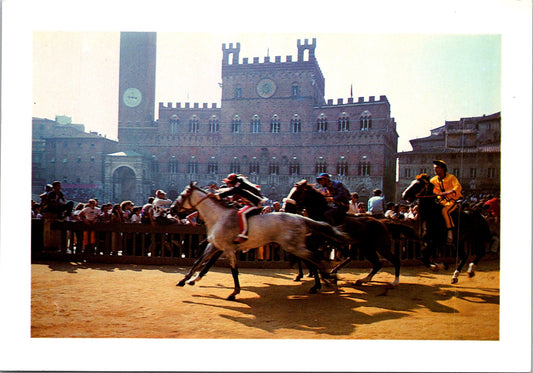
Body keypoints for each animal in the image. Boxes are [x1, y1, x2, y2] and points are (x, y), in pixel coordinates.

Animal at [171, 181, 350, 300]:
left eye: (182, 196)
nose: (172, 209)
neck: (219, 217)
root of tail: (300, 217)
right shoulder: (214, 245)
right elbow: (198, 262)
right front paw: (185, 280)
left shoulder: (228, 249)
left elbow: (233, 270)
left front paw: (234, 292)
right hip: (297, 246)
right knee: (313, 258)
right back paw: (324, 278)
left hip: (294, 247)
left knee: (315, 258)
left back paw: (327, 278)